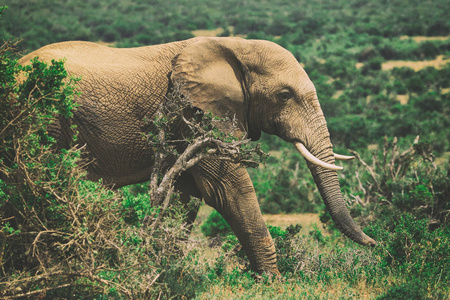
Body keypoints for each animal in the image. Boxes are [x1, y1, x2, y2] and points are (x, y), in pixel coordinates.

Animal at [19, 37, 374, 274]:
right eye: (284, 95)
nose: (374, 243)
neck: (236, 47)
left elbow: (187, 195)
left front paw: (164, 269)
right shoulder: (196, 113)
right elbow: (227, 188)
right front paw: (273, 282)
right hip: (42, 115)